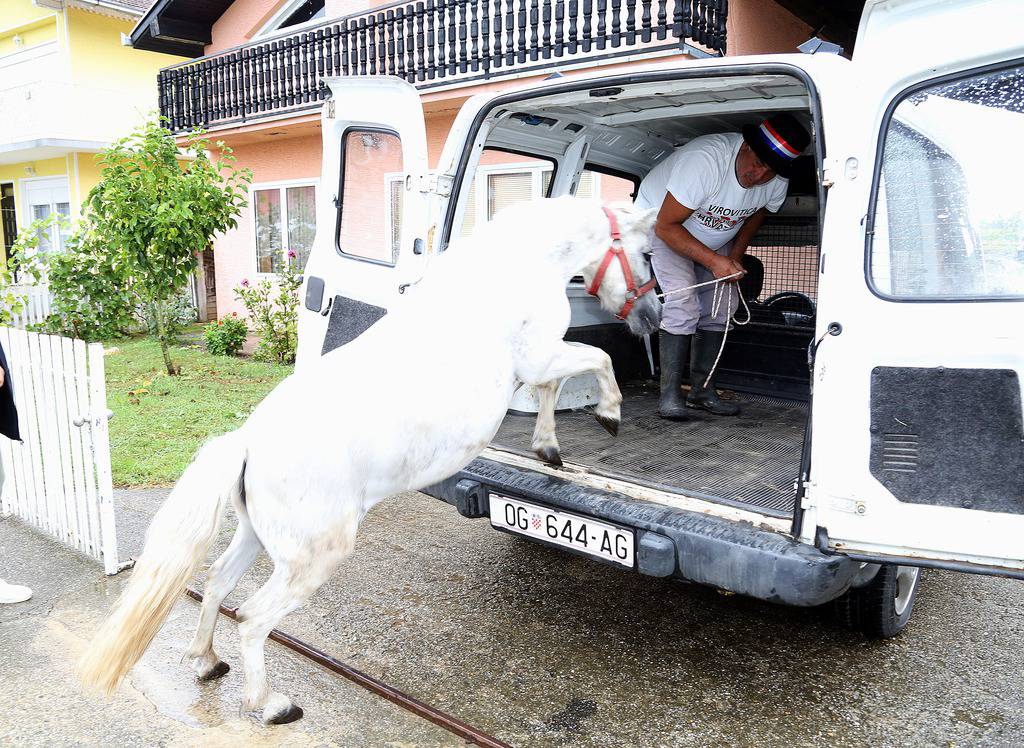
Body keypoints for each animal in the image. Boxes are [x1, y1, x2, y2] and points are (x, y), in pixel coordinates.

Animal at [77, 196, 655, 721]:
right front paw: (608, 413)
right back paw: (270, 705)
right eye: (648, 252)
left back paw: (205, 661)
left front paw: (548, 447)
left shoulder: (538, 364)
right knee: (254, 618)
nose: (651, 317)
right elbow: (594, 361)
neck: (511, 268)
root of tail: (247, 442)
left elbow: (556, 388)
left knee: (218, 583)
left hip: (258, 538)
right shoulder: (540, 356)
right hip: (312, 558)